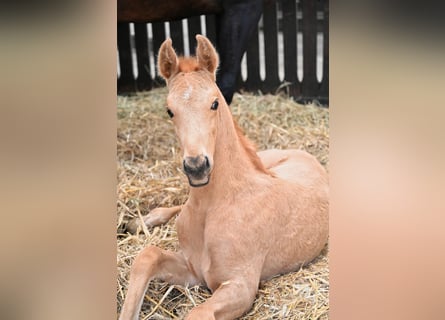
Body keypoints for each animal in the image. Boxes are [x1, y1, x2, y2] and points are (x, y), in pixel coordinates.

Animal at [119, 35, 328, 320]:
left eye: (214, 103)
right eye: (169, 110)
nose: (197, 167)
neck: (214, 206)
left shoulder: (239, 285)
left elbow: (196, 313)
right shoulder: (193, 268)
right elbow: (147, 256)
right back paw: (140, 222)